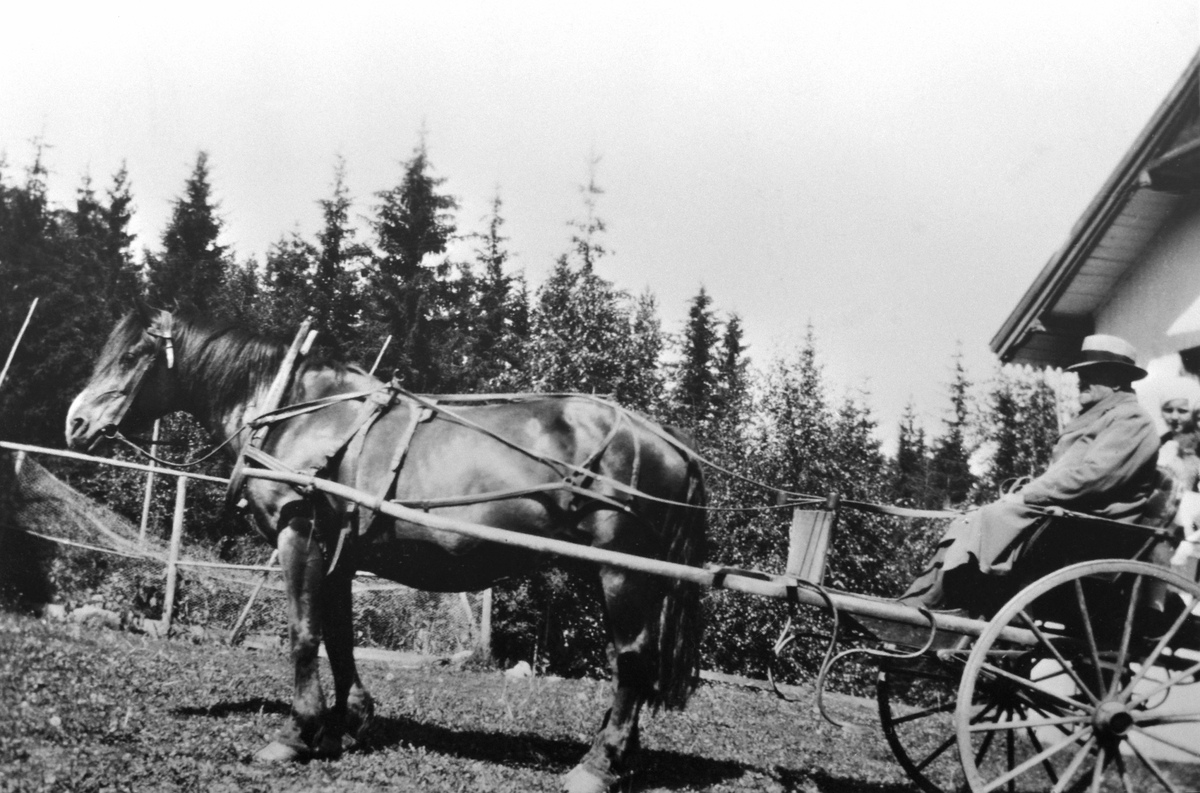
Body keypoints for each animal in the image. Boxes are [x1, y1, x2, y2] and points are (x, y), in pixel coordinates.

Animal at [63, 304, 700, 791]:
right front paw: (346, 723)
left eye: (131, 357)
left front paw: (295, 735)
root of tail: (669, 441)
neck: (296, 412)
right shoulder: (340, 555)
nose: (74, 423)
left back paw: (597, 765)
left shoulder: (301, 534)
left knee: (631, 662)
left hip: (622, 575)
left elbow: (303, 634)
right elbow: (340, 638)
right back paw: (620, 756)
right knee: (637, 665)